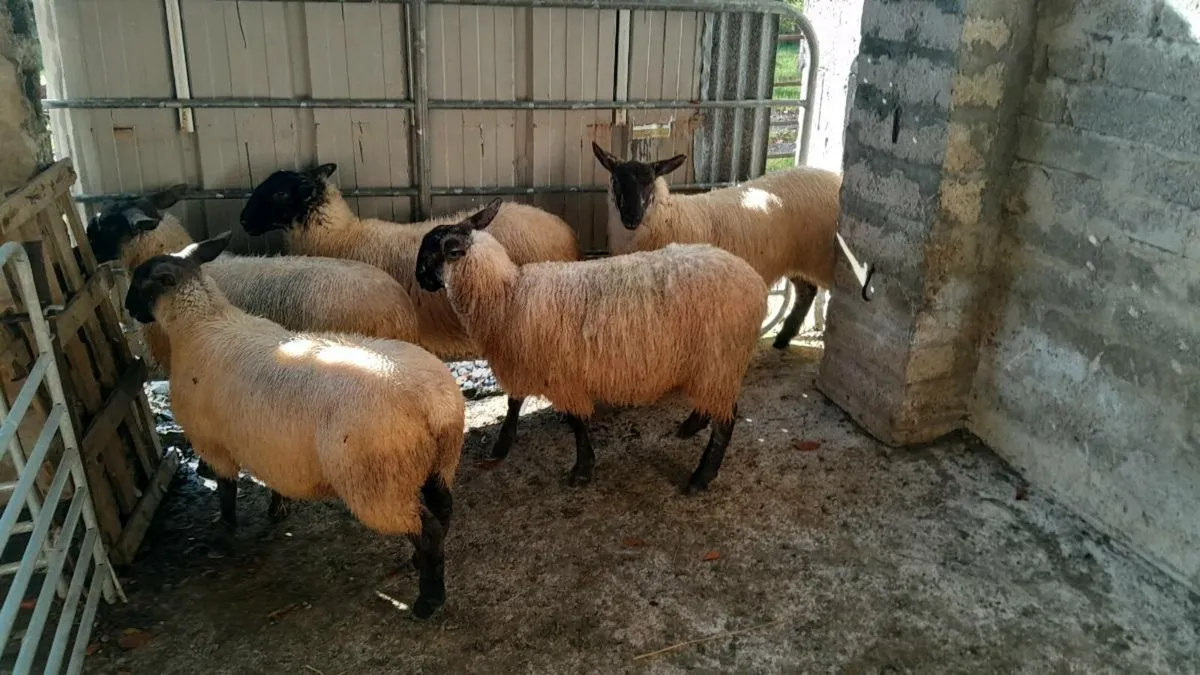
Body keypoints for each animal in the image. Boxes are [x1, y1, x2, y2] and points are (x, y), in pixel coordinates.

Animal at [123, 231, 465, 619]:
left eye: (141, 280)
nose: (127, 308)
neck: (203, 323)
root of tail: (433, 404)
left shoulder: (212, 442)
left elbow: (226, 490)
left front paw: (223, 534)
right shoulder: (270, 446)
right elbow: (273, 480)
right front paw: (277, 508)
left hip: (379, 483)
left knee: (427, 530)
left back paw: (429, 599)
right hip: (437, 464)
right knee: (443, 511)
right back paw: (421, 567)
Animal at [414, 198, 768, 493]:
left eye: (432, 252)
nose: (419, 279)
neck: (506, 295)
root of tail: (755, 282)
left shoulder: (560, 374)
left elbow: (575, 421)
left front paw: (582, 469)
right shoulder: (526, 361)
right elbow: (514, 403)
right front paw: (503, 444)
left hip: (720, 359)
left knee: (727, 420)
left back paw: (701, 476)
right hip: (712, 364)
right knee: (714, 404)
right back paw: (692, 426)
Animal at [591, 143, 842, 350]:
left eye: (650, 182)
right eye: (616, 181)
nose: (631, 217)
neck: (668, 217)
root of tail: (834, 178)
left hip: (822, 257)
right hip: (800, 255)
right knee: (807, 292)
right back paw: (783, 338)